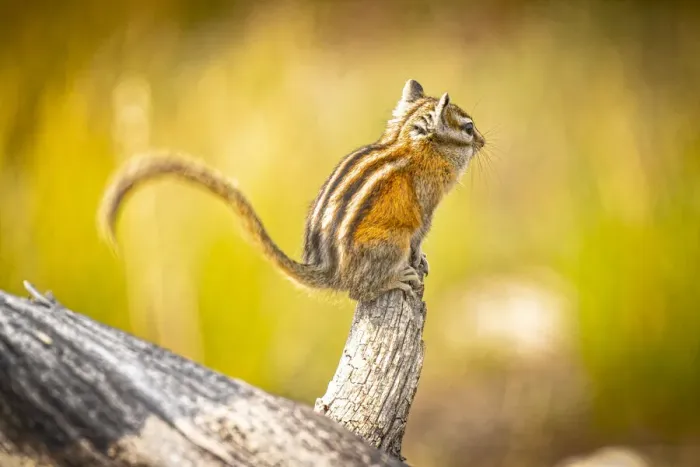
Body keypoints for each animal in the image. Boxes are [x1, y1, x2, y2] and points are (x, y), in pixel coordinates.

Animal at [98, 79, 485, 302]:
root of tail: (332, 272)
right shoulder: (425, 210)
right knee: (360, 291)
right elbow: (419, 238)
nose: (482, 142)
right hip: (390, 244)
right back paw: (396, 279)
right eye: (467, 128)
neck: (411, 144)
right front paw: (420, 261)